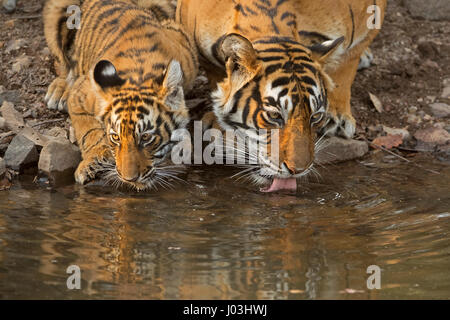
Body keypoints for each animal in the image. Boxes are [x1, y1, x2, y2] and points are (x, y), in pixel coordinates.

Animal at [44, 0, 199, 190]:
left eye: (146, 137)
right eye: (115, 137)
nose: (129, 179)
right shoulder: (80, 95)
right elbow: (89, 132)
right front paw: (93, 161)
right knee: (64, 64)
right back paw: (58, 92)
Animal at [178, 0, 384, 191]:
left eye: (315, 117)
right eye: (274, 115)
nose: (298, 170)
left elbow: (347, 62)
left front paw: (338, 117)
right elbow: (215, 74)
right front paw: (218, 123)